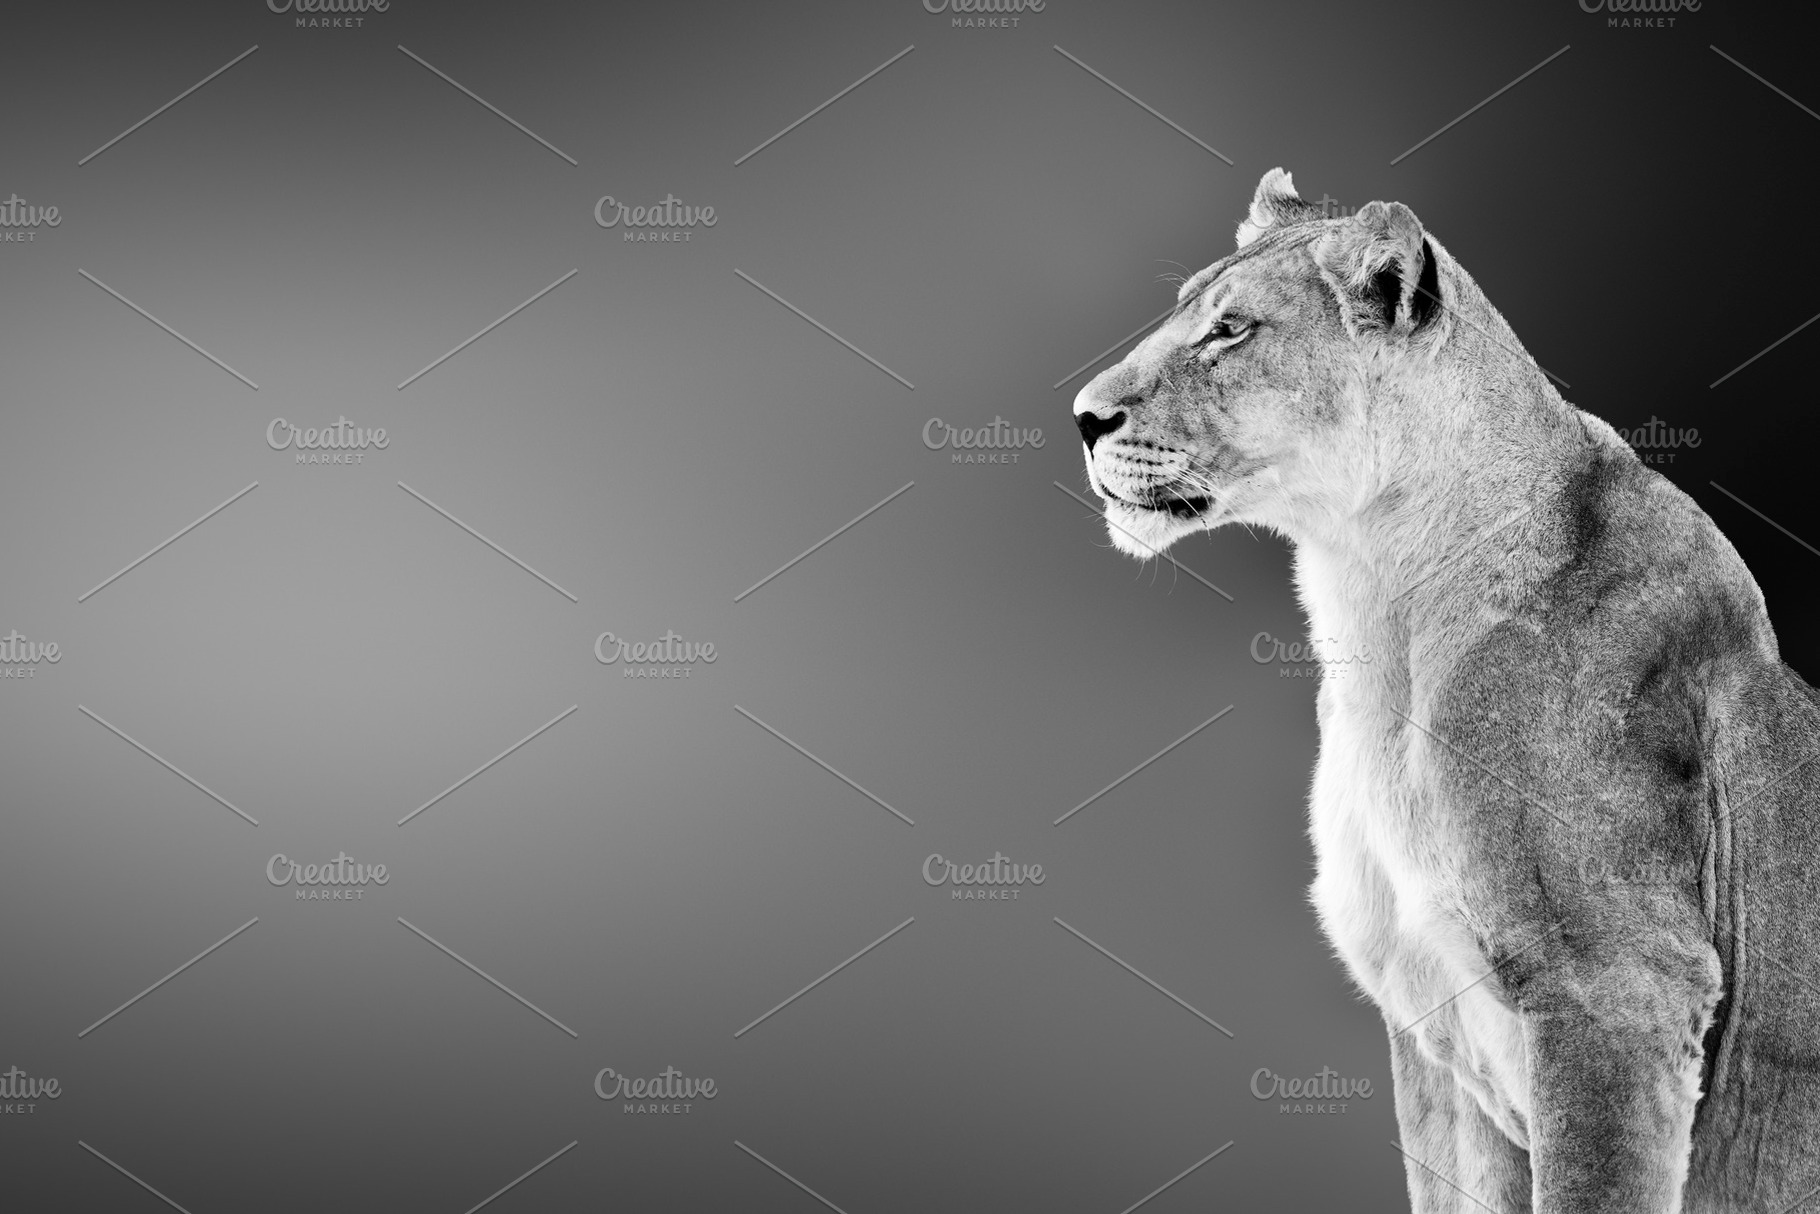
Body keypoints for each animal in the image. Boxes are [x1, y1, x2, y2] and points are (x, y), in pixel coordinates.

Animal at [1071, 168, 1820, 1213]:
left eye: (1231, 331)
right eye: (1188, 313)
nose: (1082, 417)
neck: (1376, 619)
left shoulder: (1620, 989)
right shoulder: (1437, 1043)